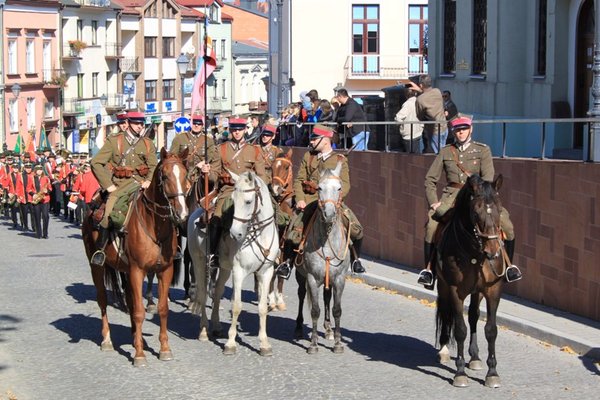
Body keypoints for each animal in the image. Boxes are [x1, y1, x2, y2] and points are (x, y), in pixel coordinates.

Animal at [82, 147, 189, 366]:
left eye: (185, 176)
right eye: (165, 176)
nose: (182, 214)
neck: (154, 225)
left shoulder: (165, 271)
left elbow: (162, 308)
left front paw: (164, 349)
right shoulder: (137, 271)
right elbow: (140, 311)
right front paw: (139, 355)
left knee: (130, 302)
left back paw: (135, 338)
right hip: (97, 266)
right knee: (103, 299)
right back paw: (107, 340)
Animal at [189, 170, 280, 354]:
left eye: (248, 201)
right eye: (233, 199)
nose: (235, 234)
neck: (260, 235)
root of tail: (196, 213)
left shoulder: (265, 272)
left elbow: (262, 308)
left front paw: (264, 344)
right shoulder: (239, 272)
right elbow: (237, 305)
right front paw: (230, 343)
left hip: (224, 268)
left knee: (217, 292)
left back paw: (216, 326)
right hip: (198, 261)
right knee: (202, 293)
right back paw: (204, 330)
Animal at [298, 161, 352, 354]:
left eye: (339, 187)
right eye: (319, 188)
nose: (329, 214)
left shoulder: (339, 279)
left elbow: (337, 309)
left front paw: (337, 342)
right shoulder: (312, 278)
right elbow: (315, 309)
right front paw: (313, 344)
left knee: (327, 298)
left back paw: (328, 330)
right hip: (301, 276)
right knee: (301, 295)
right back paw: (298, 328)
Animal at [434, 174, 508, 388]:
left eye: (500, 208)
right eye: (476, 211)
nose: (493, 251)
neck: (475, 253)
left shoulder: (493, 290)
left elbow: (490, 330)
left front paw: (492, 373)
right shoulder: (454, 290)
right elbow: (460, 329)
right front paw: (459, 373)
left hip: (477, 292)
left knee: (474, 315)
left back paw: (474, 357)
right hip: (443, 287)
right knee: (446, 312)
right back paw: (444, 350)